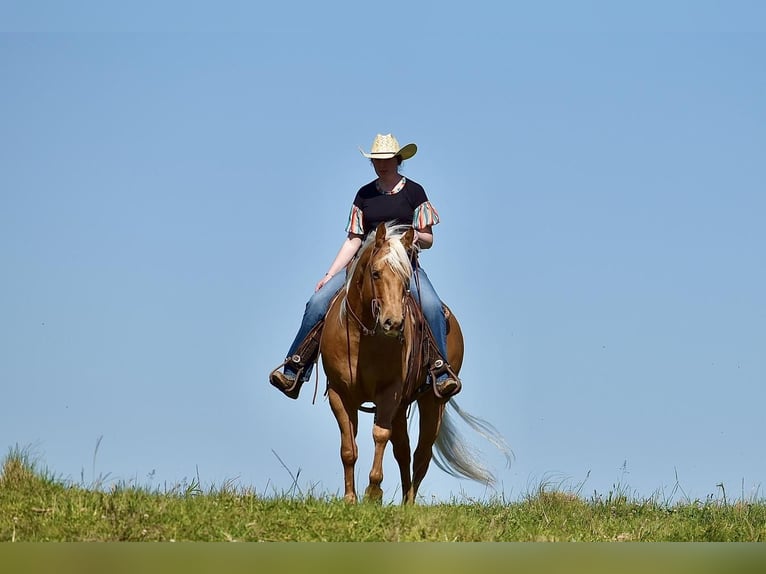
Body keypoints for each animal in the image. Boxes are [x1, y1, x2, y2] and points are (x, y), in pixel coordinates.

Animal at [320, 223, 512, 506]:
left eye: (406, 279)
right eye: (375, 273)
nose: (393, 322)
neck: (361, 338)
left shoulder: (389, 392)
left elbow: (380, 434)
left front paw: (373, 492)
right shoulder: (339, 393)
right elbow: (348, 448)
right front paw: (350, 498)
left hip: (432, 402)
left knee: (421, 454)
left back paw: (409, 504)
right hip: (401, 408)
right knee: (404, 450)